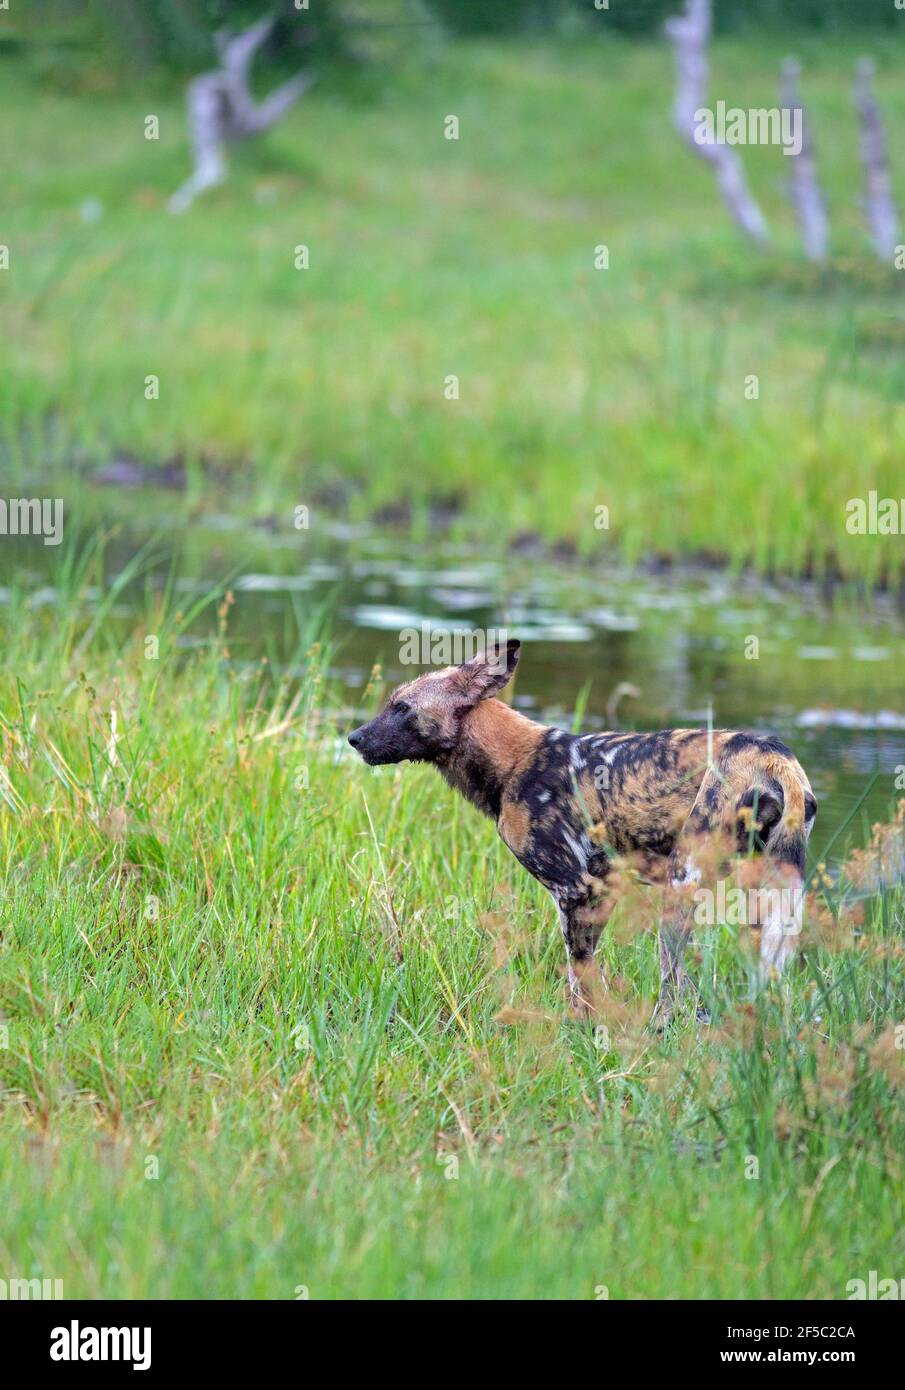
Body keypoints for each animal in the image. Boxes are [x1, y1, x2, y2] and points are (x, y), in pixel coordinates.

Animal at [347, 639, 811, 1023]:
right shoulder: (598, 888)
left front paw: (585, 1032)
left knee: (674, 985)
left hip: (680, 887)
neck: (513, 762)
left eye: (402, 708)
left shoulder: (577, 889)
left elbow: (581, 973)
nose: (353, 738)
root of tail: (775, 756)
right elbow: (581, 978)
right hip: (761, 897)